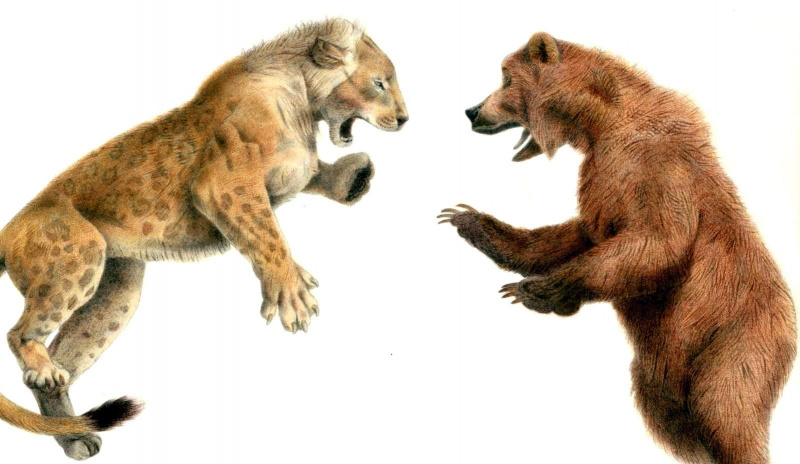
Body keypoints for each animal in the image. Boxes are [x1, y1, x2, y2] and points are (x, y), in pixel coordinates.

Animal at [0, 18, 407, 459]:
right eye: (380, 83)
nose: (404, 119)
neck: (302, 96)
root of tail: (8, 231)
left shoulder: (289, 171)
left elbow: (310, 178)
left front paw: (355, 177)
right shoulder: (221, 183)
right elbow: (266, 236)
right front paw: (292, 296)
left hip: (116, 293)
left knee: (54, 371)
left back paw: (73, 433)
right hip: (80, 253)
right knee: (18, 334)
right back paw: (43, 370)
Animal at [439, 32, 796, 464]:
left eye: (506, 77)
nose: (472, 111)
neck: (599, 123)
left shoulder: (654, 165)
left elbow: (658, 242)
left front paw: (536, 289)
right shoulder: (602, 177)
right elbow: (578, 235)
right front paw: (470, 221)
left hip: (738, 342)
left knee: (726, 410)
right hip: (660, 371)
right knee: (673, 422)